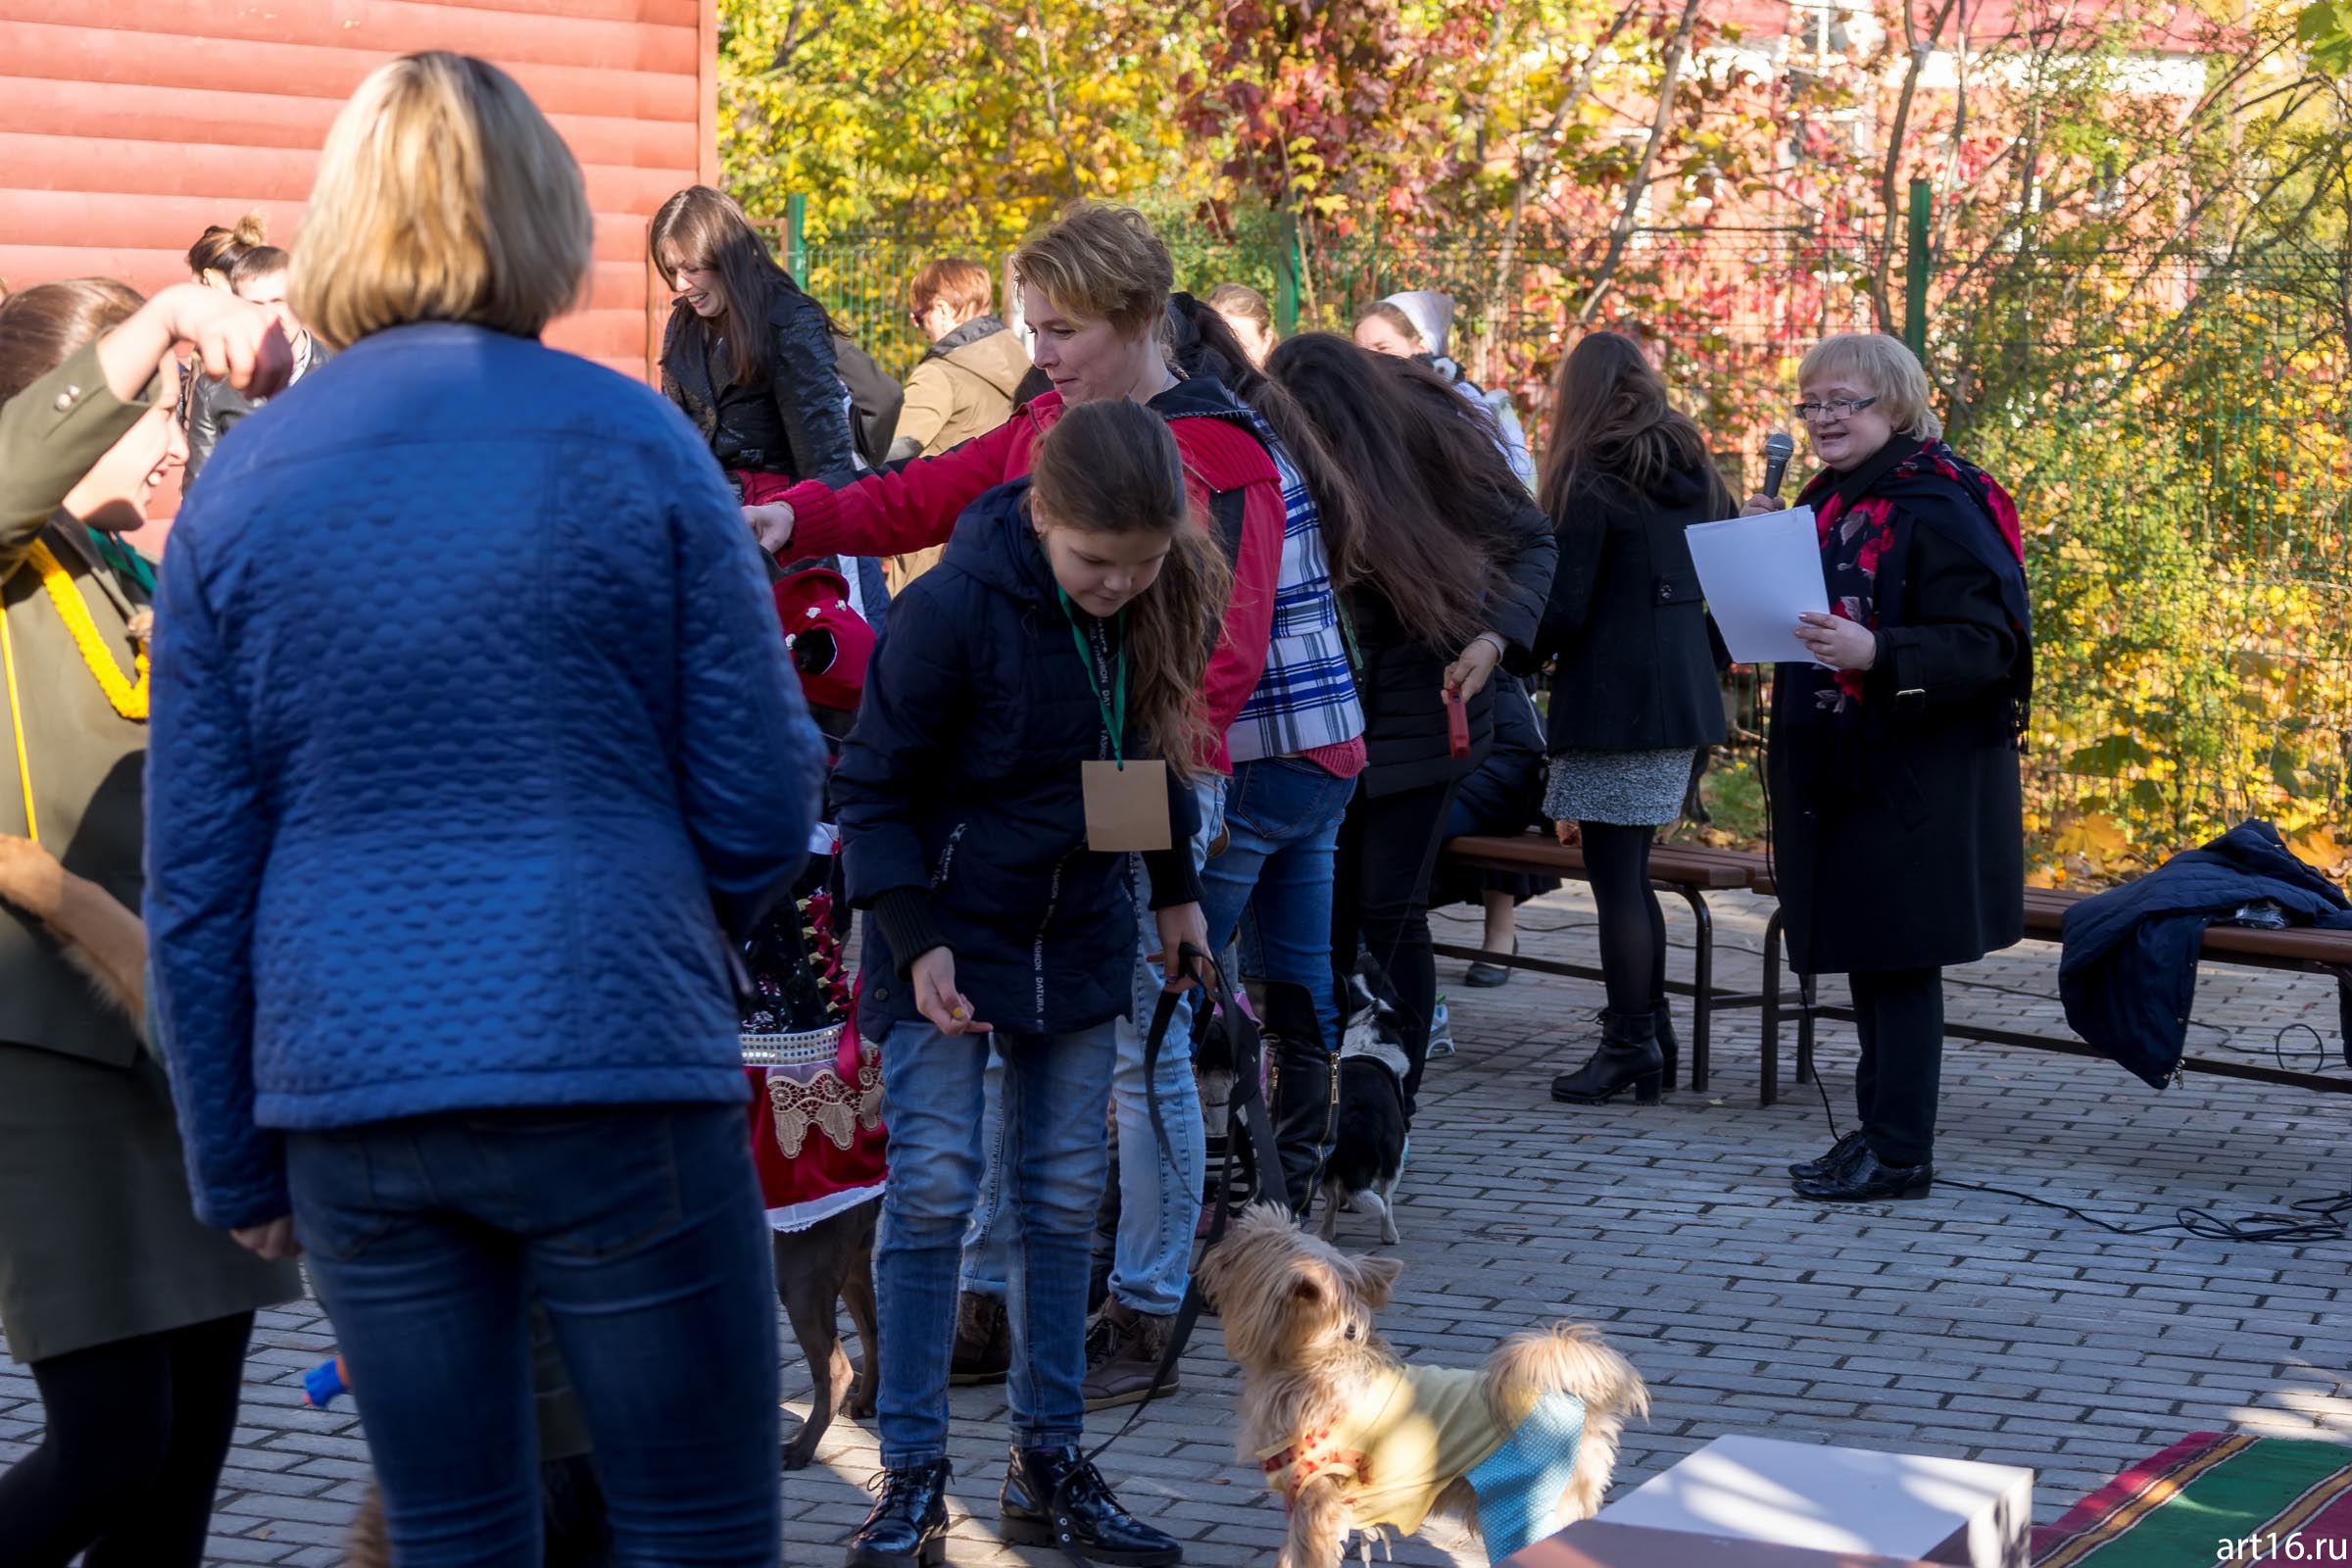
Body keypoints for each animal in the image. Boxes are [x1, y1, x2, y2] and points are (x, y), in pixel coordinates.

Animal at [1317, 958, 1401, 1250]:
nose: (1366, 954)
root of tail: (1361, 1112)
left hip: (1329, 1156)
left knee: (1333, 1199)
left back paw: (1325, 1234)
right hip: (1393, 1154)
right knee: (1386, 1201)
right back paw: (1389, 1236)